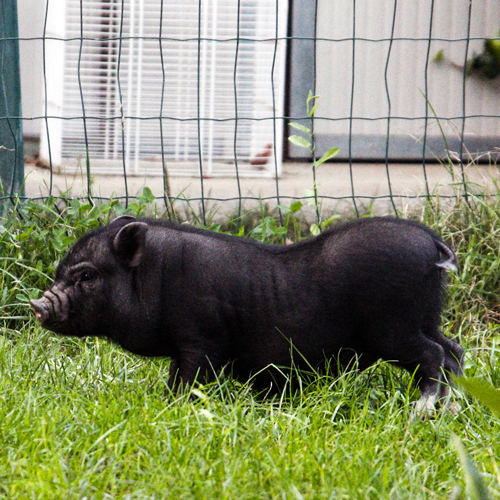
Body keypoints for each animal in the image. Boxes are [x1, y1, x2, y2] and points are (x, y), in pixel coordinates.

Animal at [29, 215, 462, 410]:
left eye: (86, 275)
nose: (37, 305)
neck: (156, 276)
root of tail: (433, 244)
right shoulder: (183, 346)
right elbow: (175, 376)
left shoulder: (202, 339)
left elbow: (190, 378)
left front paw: (177, 407)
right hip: (426, 317)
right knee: (453, 349)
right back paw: (455, 404)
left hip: (393, 326)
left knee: (434, 355)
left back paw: (422, 410)